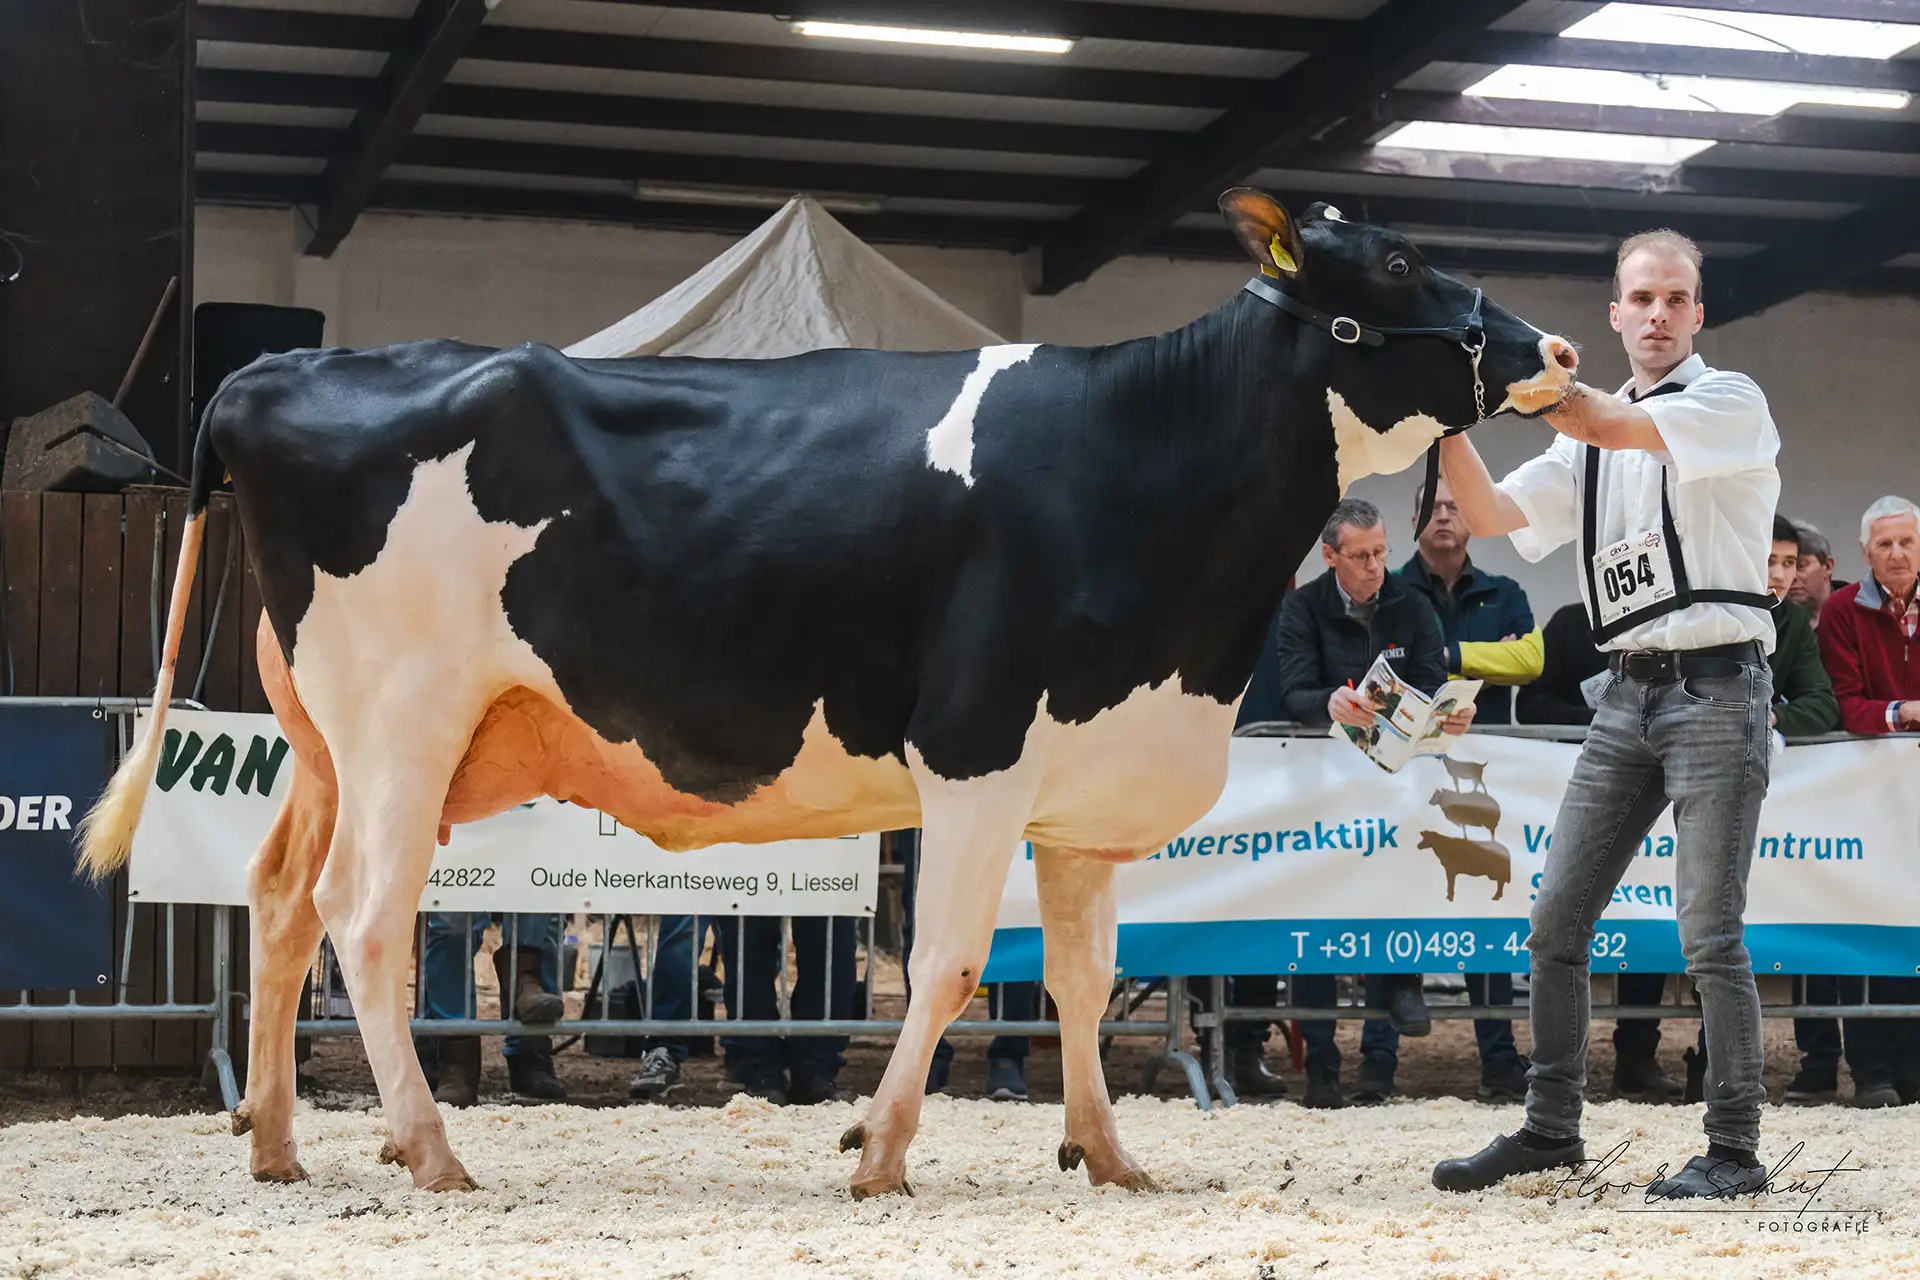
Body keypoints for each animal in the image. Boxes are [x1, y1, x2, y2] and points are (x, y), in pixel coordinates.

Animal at [77, 189, 1576, 1199]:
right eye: (1398, 258)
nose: (1557, 350)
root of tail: (283, 365)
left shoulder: (1083, 779)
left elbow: (1084, 976)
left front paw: (1105, 1151)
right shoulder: (974, 748)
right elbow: (957, 961)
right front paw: (879, 1145)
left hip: (323, 734)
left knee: (278, 900)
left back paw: (278, 1144)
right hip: (403, 722)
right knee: (365, 917)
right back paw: (430, 1148)